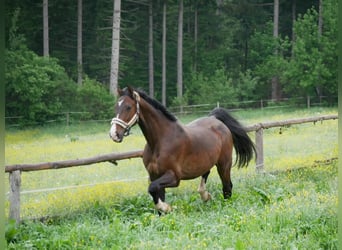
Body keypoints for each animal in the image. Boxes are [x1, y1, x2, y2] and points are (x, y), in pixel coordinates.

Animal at [108, 86, 255, 213]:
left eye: (128, 107)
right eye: (116, 106)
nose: (114, 134)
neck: (159, 142)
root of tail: (215, 119)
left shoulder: (174, 177)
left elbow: (152, 189)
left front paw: (167, 207)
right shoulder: (155, 176)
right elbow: (155, 193)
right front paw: (164, 211)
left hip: (224, 164)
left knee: (227, 187)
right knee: (206, 174)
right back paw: (205, 195)